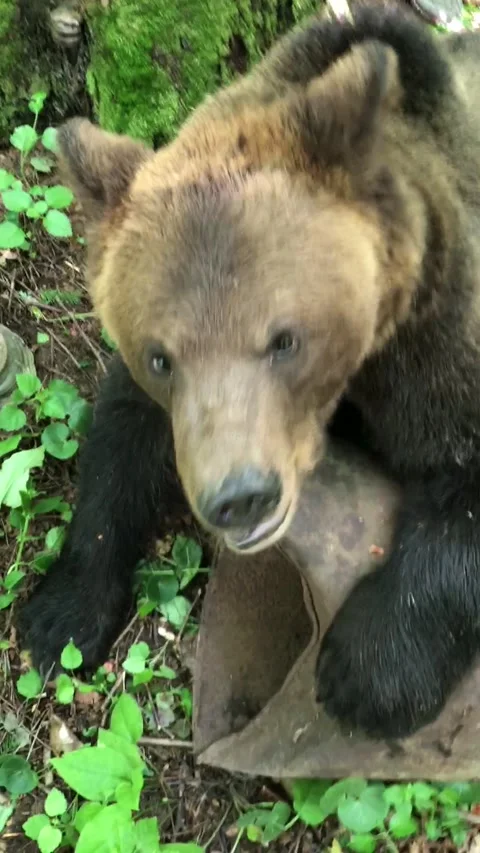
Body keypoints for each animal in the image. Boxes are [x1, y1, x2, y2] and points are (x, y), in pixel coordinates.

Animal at [18, 3, 480, 740]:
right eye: (162, 356)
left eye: (285, 340)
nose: (240, 496)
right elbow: (120, 445)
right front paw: (61, 614)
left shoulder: (435, 332)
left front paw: (368, 674)